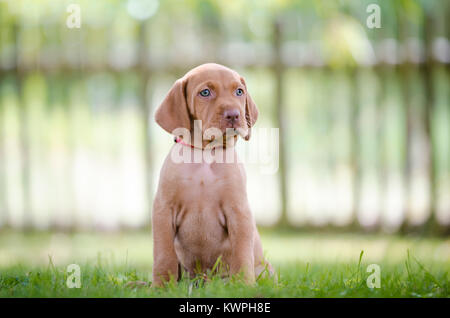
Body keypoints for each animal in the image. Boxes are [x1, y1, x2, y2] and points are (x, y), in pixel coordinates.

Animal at [152, 62, 274, 286]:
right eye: (205, 92)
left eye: (239, 92)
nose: (234, 115)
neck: (205, 156)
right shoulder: (163, 209)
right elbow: (163, 254)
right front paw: (161, 286)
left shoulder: (238, 210)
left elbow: (242, 253)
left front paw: (245, 285)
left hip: (265, 269)